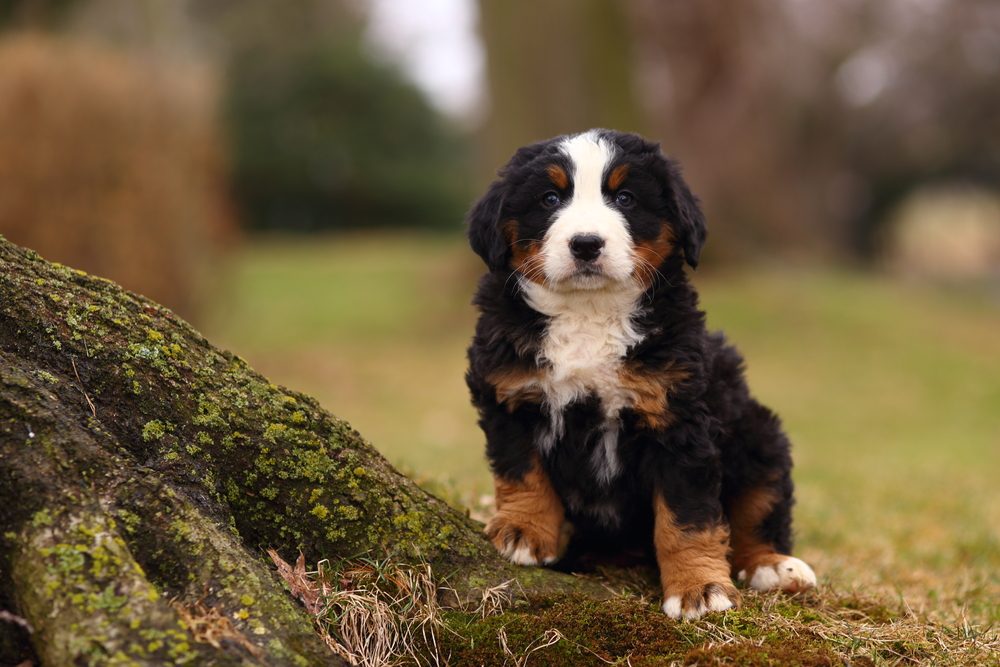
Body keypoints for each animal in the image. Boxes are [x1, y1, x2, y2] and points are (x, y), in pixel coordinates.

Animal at [464, 128, 816, 620]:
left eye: (625, 198)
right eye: (550, 197)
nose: (586, 244)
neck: (589, 312)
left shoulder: (680, 421)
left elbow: (687, 518)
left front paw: (698, 588)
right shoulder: (509, 395)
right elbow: (521, 470)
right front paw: (524, 531)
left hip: (759, 435)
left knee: (759, 508)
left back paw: (774, 566)